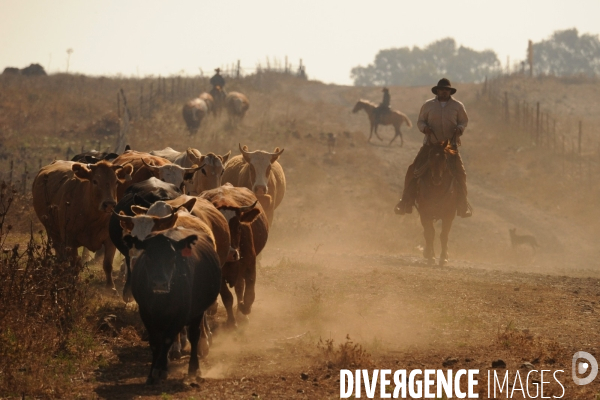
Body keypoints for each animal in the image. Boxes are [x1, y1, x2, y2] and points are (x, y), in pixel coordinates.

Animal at [31, 159, 134, 288]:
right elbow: (74, 264)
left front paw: (111, 287)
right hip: (53, 232)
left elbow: (107, 264)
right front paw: (73, 284)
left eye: (116, 182)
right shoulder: (69, 240)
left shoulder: (110, 240)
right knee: (60, 255)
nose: (109, 204)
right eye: (95, 181)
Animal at [125, 227, 221, 382]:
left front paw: (161, 369)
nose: (160, 283)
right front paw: (152, 373)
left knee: (194, 335)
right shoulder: (145, 312)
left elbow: (167, 339)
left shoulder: (181, 314)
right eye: (148, 256)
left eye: (172, 257)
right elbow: (155, 342)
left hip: (198, 311)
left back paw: (194, 368)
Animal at [199, 184, 268, 328]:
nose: (231, 254)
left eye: (239, 227)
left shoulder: (250, 265)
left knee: (240, 288)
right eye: (217, 230)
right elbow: (227, 297)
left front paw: (244, 309)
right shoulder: (219, 275)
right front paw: (231, 322)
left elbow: (249, 294)